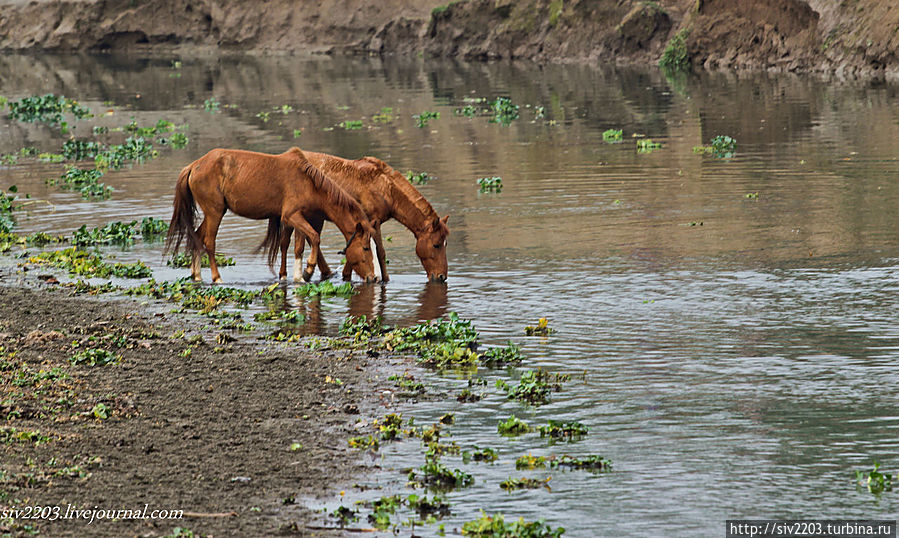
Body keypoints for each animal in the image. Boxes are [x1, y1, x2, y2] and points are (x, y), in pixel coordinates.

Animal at [167, 146, 378, 280]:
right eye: (365, 248)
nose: (373, 278)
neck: (308, 182)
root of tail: (193, 166)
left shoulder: (296, 219)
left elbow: (292, 246)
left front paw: (289, 275)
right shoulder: (292, 216)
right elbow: (314, 238)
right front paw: (307, 271)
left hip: (214, 212)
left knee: (197, 236)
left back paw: (196, 275)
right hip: (215, 212)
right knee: (209, 242)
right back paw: (216, 277)